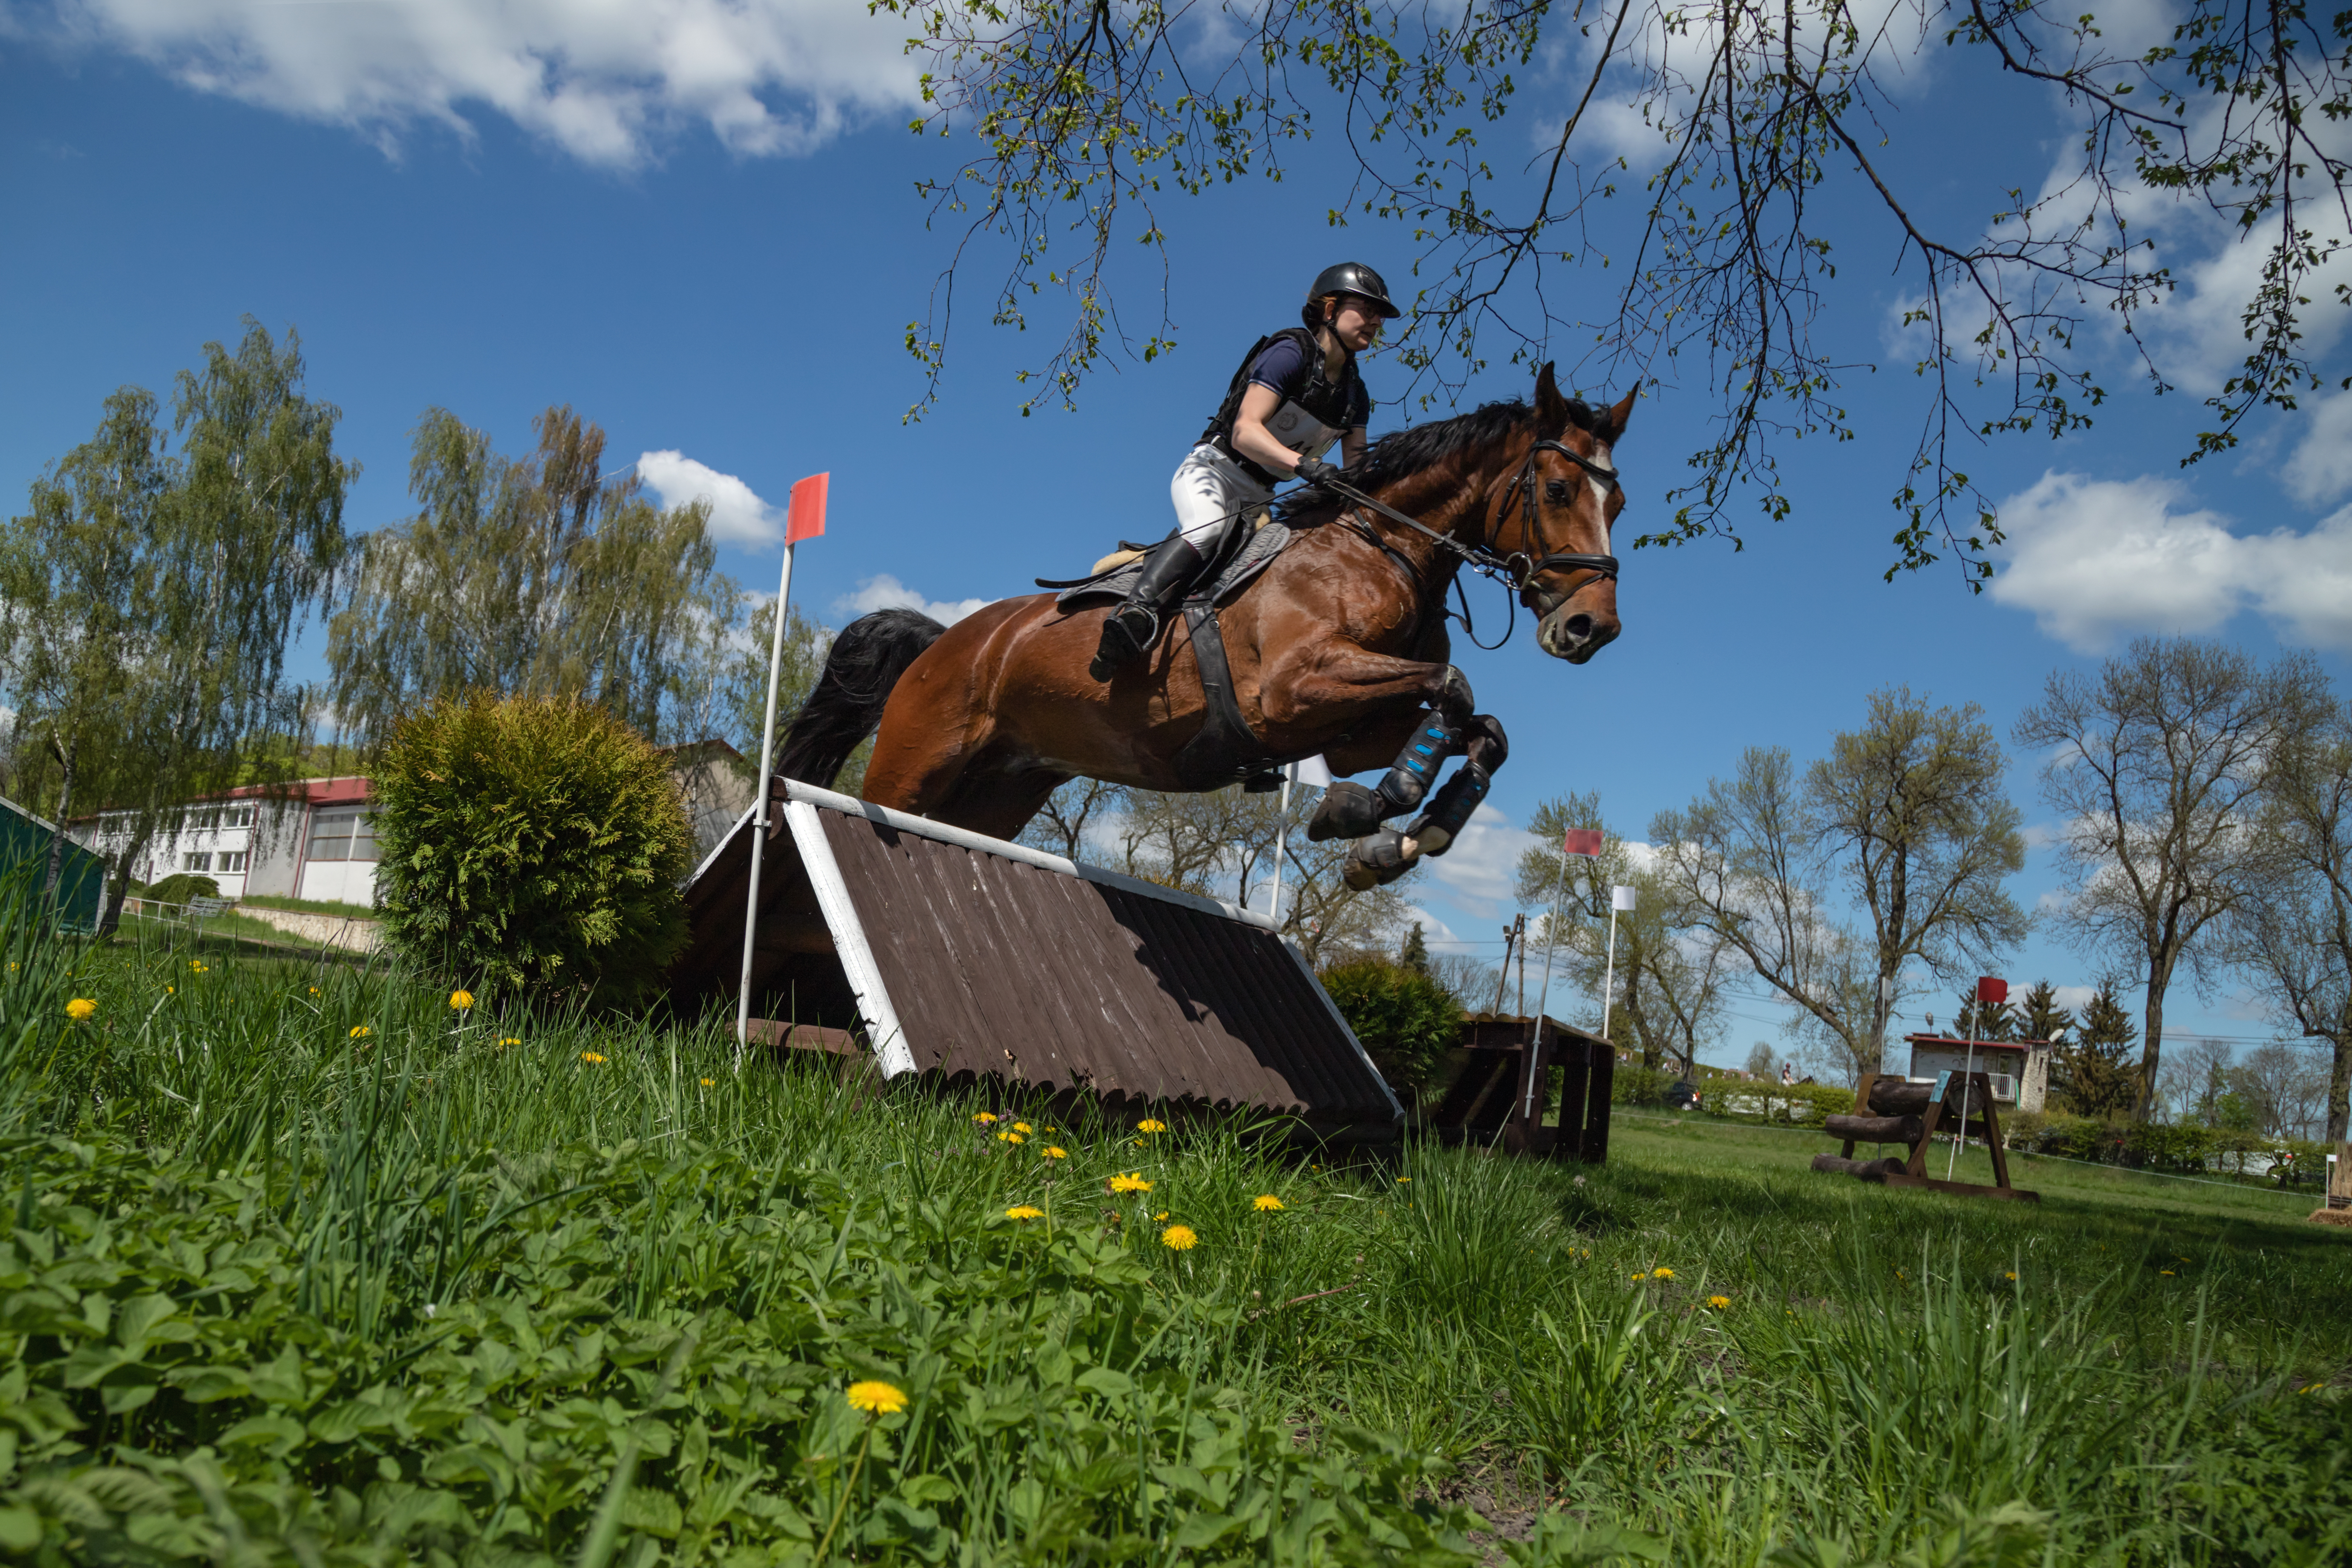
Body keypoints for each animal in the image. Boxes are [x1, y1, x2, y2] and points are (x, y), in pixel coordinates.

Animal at [781, 360, 1628, 888]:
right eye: (1558, 489)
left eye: (1617, 503)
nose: (1595, 629)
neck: (1381, 549)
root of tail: (947, 640)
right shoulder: (1289, 694)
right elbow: (1454, 686)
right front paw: (1368, 814)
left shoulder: (1352, 729)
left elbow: (1483, 728)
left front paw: (1401, 840)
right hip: (913, 765)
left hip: (997, 791)